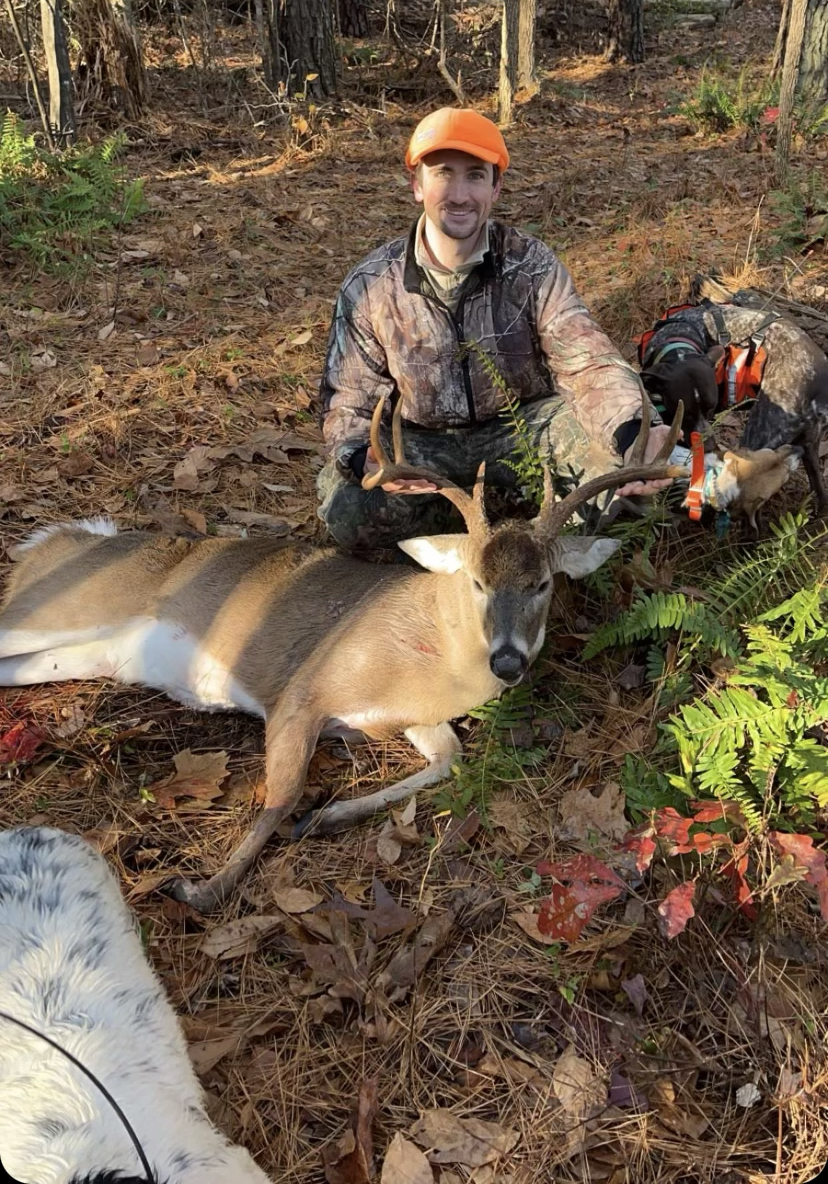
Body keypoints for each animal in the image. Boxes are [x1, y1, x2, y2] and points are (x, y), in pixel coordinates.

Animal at [0, 393, 687, 909]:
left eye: (542, 583)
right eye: (476, 580)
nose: (509, 661)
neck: (429, 656)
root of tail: (57, 539)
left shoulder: (411, 718)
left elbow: (451, 761)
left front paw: (326, 817)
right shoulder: (301, 690)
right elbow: (279, 798)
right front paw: (199, 887)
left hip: (79, 653)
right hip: (53, 611)